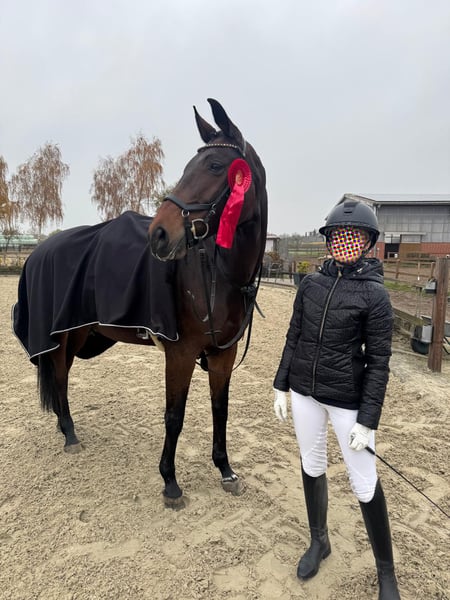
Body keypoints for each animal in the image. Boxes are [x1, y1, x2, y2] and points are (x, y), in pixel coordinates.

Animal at [13, 98, 268, 508]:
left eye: (215, 166)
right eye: (188, 166)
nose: (159, 235)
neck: (217, 274)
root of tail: (38, 251)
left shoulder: (222, 354)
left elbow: (220, 409)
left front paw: (225, 470)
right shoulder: (180, 353)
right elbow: (174, 416)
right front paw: (170, 483)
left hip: (76, 332)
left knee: (60, 376)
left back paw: (65, 428)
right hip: (62, 335)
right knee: (61, 376)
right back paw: (70, 434)